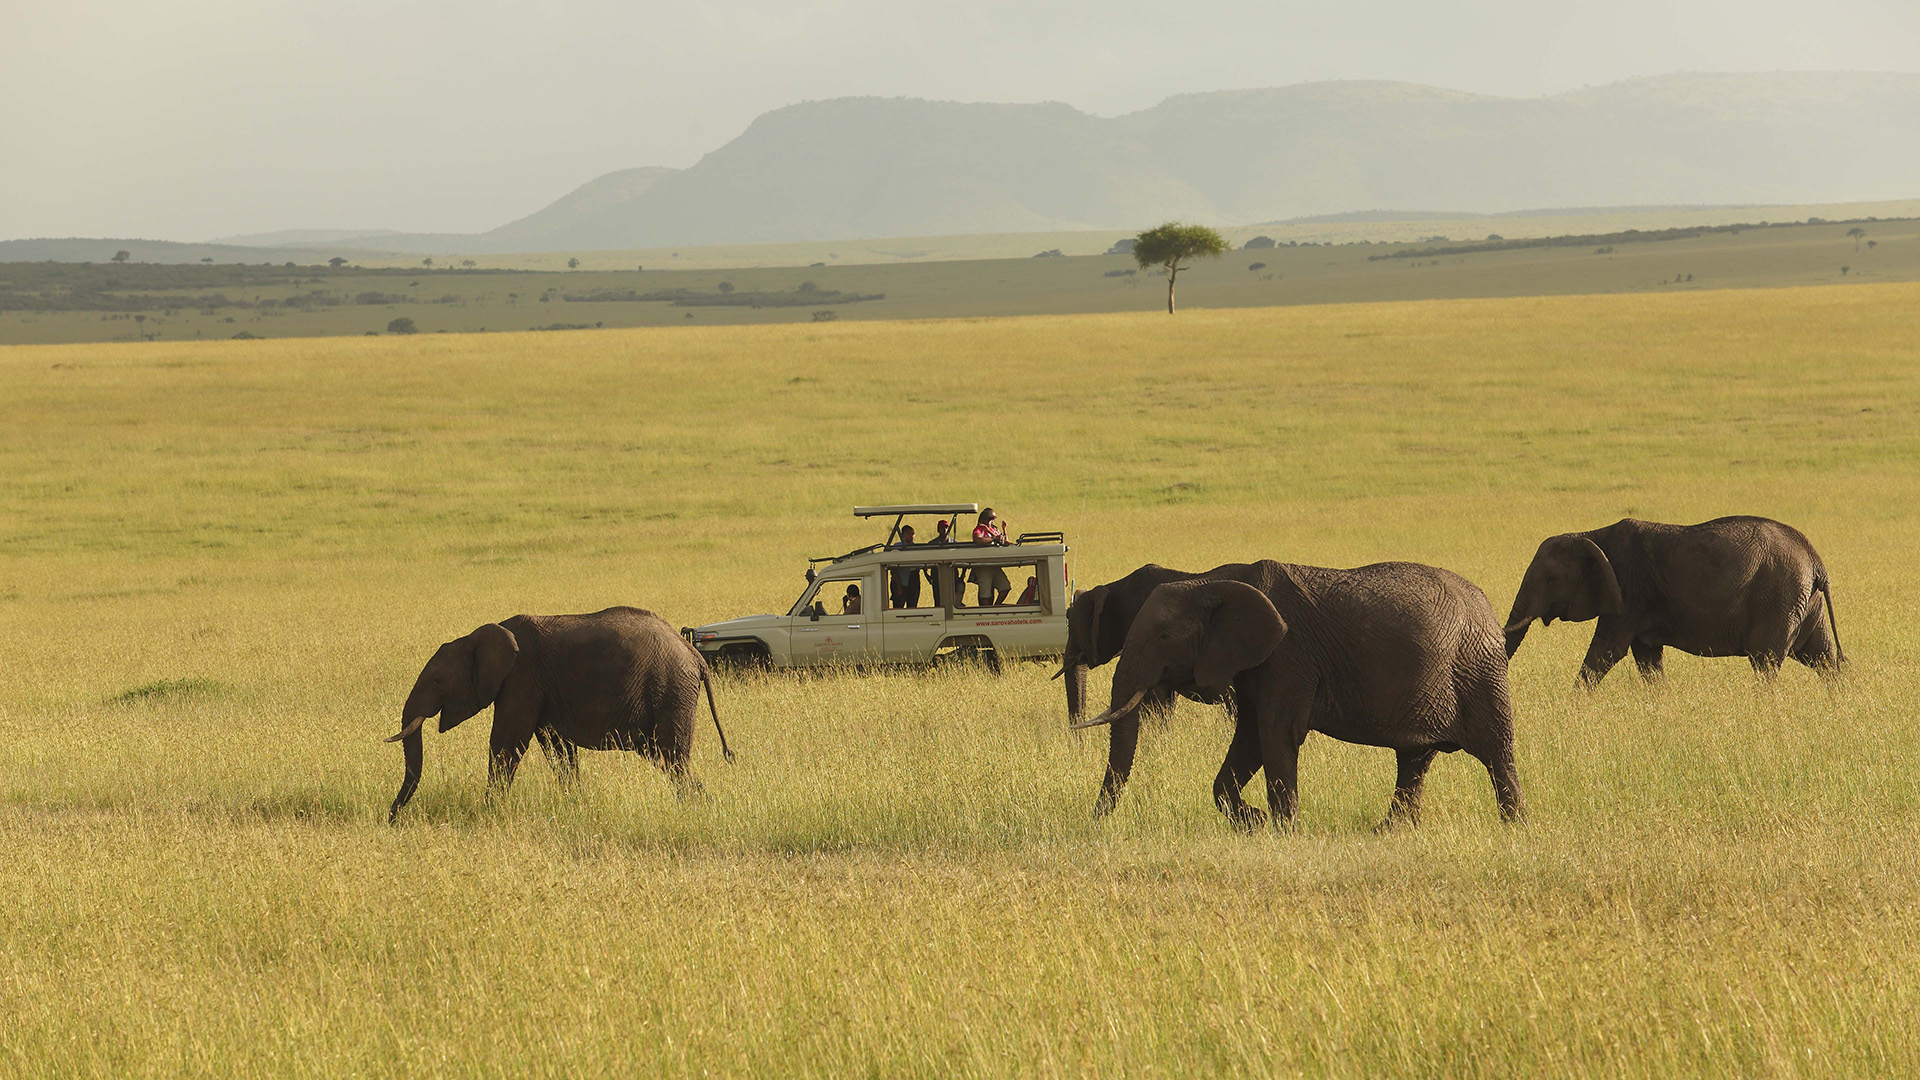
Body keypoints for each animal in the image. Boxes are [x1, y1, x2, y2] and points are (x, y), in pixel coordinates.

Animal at [386, 606, 734, 821]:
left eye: (437, 681)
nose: (391, 818)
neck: (476, 637)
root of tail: (694, 655)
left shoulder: (522, 678)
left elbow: (507, 742)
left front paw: (487, 812)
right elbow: (558, 748)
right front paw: (577, 804)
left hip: (671, 690)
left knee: (672, 756)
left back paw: (695, 809)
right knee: (663, 757)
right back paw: (702, 806)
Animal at [1074, 562, 1525, 829]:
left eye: (1165, 637)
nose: (1093, 822)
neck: (1212, 581)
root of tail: (1487, 607)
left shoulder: (1288, 656)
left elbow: (1276, 734)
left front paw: (1282, 828)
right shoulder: (1252, 661)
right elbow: (1250, 739)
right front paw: (1254, 822)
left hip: (1478, 669)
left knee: (1497, 752)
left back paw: (1513, 826)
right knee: (1414, 759)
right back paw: (1389, 831)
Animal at [1503, 516, 1842, 685]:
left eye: (1550, 579)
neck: (1591, 535)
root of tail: (1816, 561)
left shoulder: (1628, 594)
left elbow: (1605, 652)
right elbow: (1647, 658)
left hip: (1779, 598)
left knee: (1766, 662)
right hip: (1802, 602)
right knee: (1823, 657)